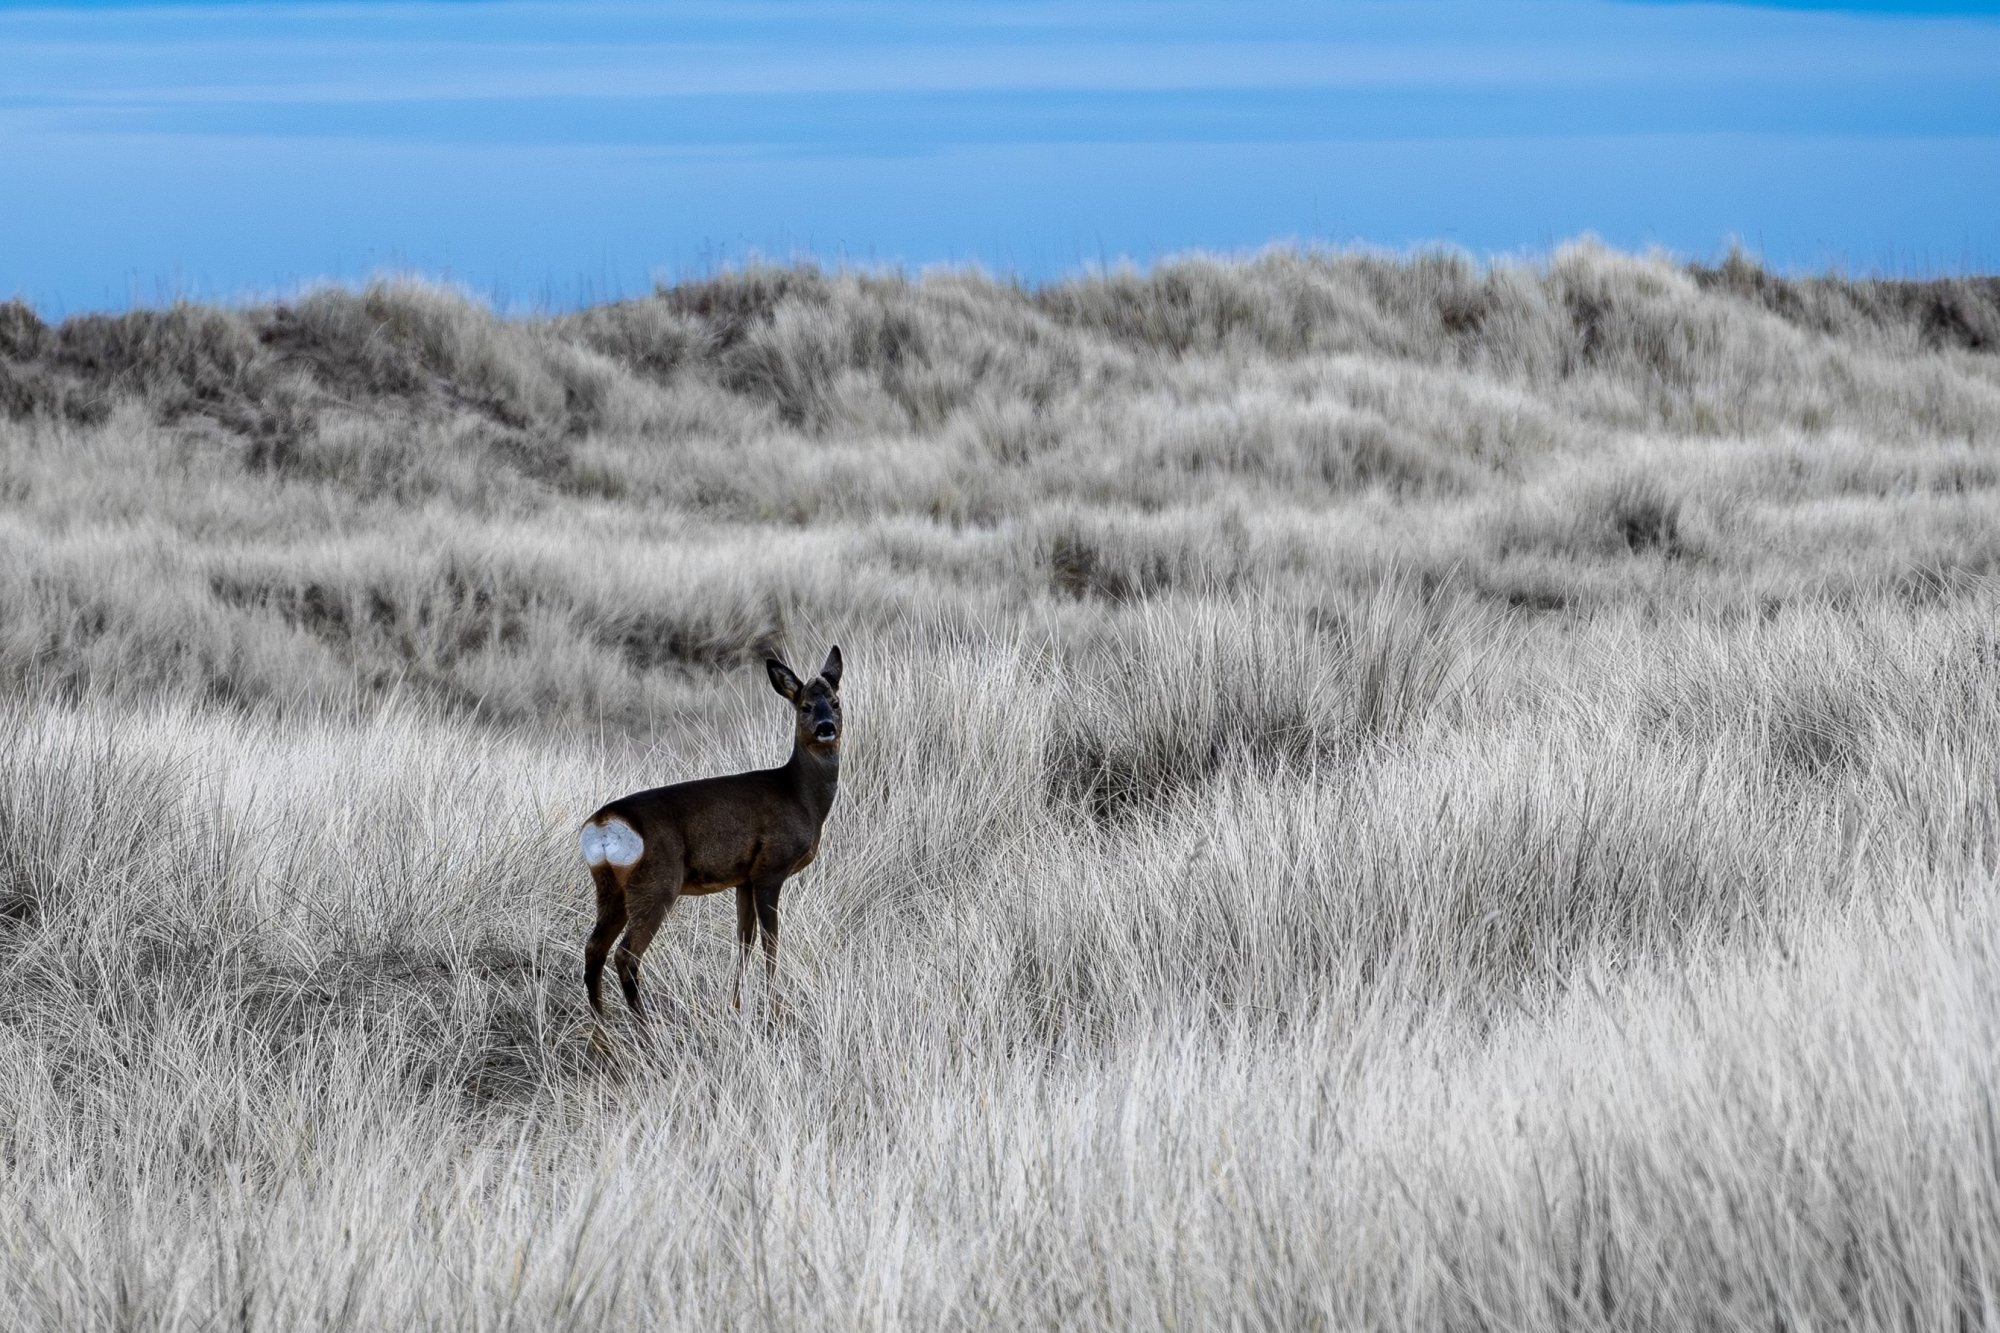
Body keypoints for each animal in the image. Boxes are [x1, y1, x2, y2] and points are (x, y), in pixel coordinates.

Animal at [579, 646, 843, 1023]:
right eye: (805, 706)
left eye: (835, 702)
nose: (826, 728)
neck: (799, 795)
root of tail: (602, 824)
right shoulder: (770, 869)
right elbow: (771, 942)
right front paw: (775, 1011)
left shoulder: (744, 879)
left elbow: (744, 940)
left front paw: (735, 1006)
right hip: (656, 882)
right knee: (626, 954)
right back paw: (646, 1028)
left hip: (609, 886)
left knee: (594, 949)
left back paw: (602, 1030)